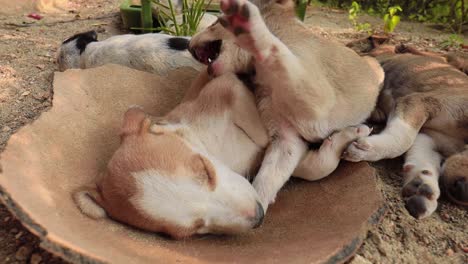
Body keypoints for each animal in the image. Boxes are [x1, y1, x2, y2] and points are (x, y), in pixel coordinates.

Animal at [75, 70, 372, 239]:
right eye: (192, 231)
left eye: (205, 170)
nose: (258, 216)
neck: (219, 151)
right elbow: (313, 166)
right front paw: (345, 140)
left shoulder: (226, 85)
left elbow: (265, 129)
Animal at [187, 0, 384, 211]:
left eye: (215, 22)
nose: (188, 47)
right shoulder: (286, 137)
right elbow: (265, 182)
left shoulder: (317, 100)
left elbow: (276, 52)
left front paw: (250, 29)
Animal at [342, 43, 468, 219]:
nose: (463, 193)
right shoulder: (421, 102)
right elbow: (403, 140)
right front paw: (368, 149)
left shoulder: (428, 136)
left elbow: (423, 160)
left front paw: (423, 187)